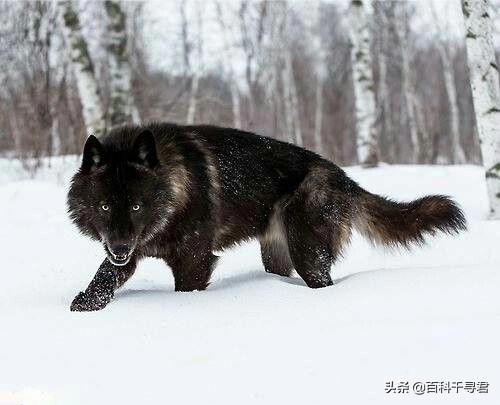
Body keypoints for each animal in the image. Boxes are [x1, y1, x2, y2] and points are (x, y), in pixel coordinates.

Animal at [66, 122, 464, 310]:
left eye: (137, 206)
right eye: (104, 207)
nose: (120, 247)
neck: (174, 188)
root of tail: (343, 177)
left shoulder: (194, 261)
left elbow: (185, 290)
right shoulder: (127, 252)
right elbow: (104, 277)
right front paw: (86, 304)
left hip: (308, 255)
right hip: (276, 255)